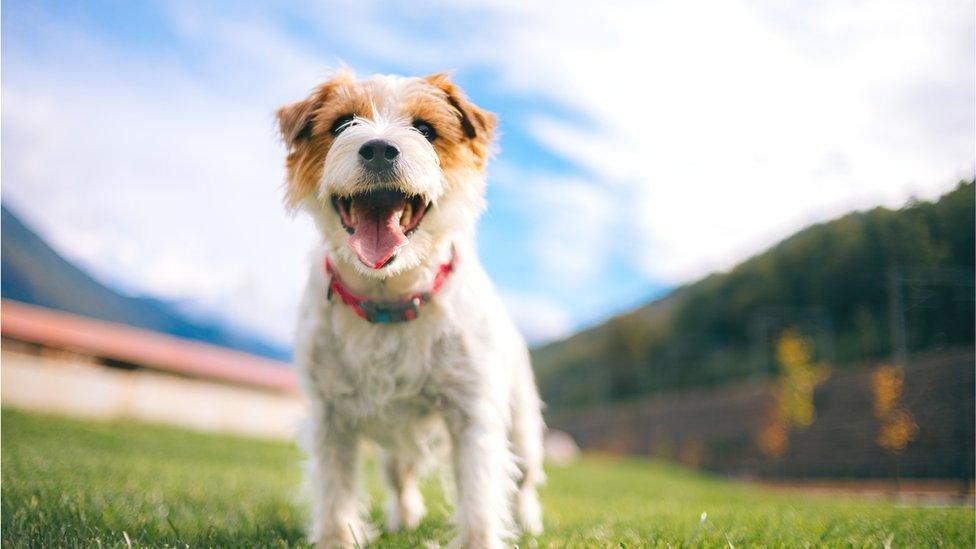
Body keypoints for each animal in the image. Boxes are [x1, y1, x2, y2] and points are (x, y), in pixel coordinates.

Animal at [278, 70, 544, 544]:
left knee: (526, 477)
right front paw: (337, 539)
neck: (389, 299)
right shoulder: (330, 416)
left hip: (523, 424)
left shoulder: (471, 412)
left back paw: (530, 522)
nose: (379, 148)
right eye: (342, 123)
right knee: (400, 476)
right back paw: (404, 519)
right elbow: (335, 492)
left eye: (426, 129)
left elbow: (479, 494)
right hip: (395, 442)